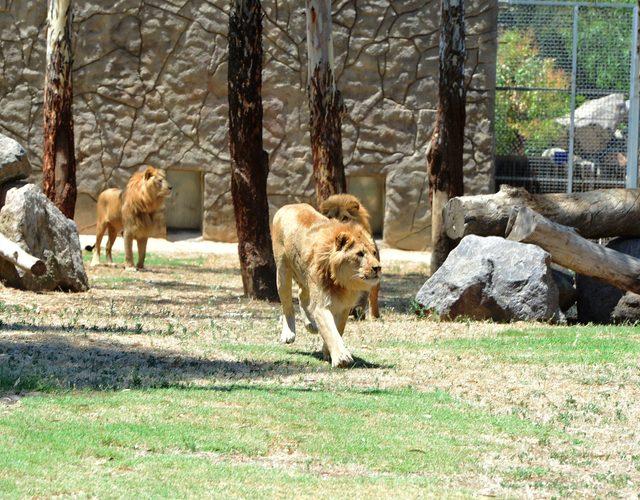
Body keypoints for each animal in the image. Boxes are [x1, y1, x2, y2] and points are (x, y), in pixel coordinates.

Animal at [272, 203, 382, 368]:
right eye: (360, 254)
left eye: (374, 253)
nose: (377, 267)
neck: (343, 282)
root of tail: (288, 206)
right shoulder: (322, 305)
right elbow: (330, 330)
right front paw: (341, 358)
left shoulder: (344, 307)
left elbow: (338, 329)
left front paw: (327, 352)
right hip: (283, 271)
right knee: (287, 305)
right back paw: (289, 333)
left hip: (305, 277)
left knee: (301, 295)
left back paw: (310, 324)